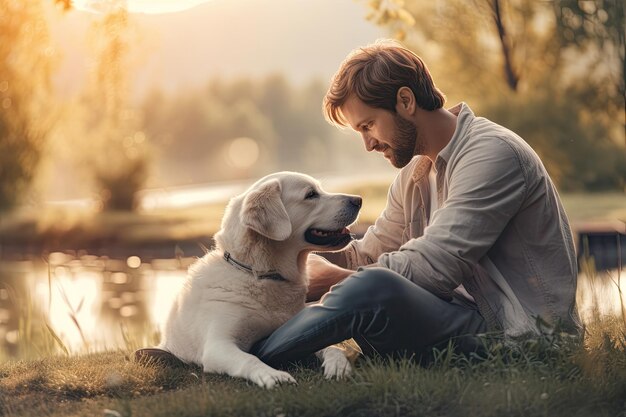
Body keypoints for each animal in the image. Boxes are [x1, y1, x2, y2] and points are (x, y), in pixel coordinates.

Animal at [157, 171, 360, 388]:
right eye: (311, 194)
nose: (358, 200)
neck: (262, 274)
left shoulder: (299, 331)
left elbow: (333, 346)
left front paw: (338, 364)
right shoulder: (218, 345)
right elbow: (249, 359)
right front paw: (273, 375)